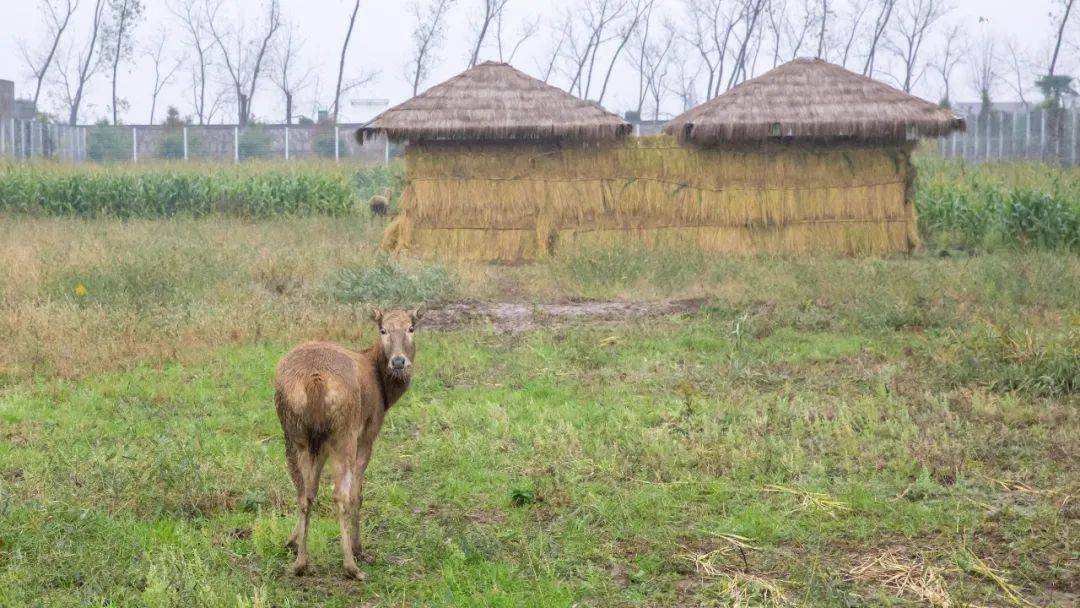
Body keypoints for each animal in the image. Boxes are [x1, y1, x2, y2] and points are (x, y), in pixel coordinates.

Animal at [272, 308, 419, 578]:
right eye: (383, 329)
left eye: (411, 327)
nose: (399, 362)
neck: (386, 394)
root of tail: (314, 381)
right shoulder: (368, 434)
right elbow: (357, 495)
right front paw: (359, 548)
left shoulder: (319, 445)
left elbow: (311, 490)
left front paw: (293, 541)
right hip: (344, 433)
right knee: (341, 495)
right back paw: (351, 565)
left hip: (294, 433)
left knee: (302, 493)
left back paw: (300, 563)